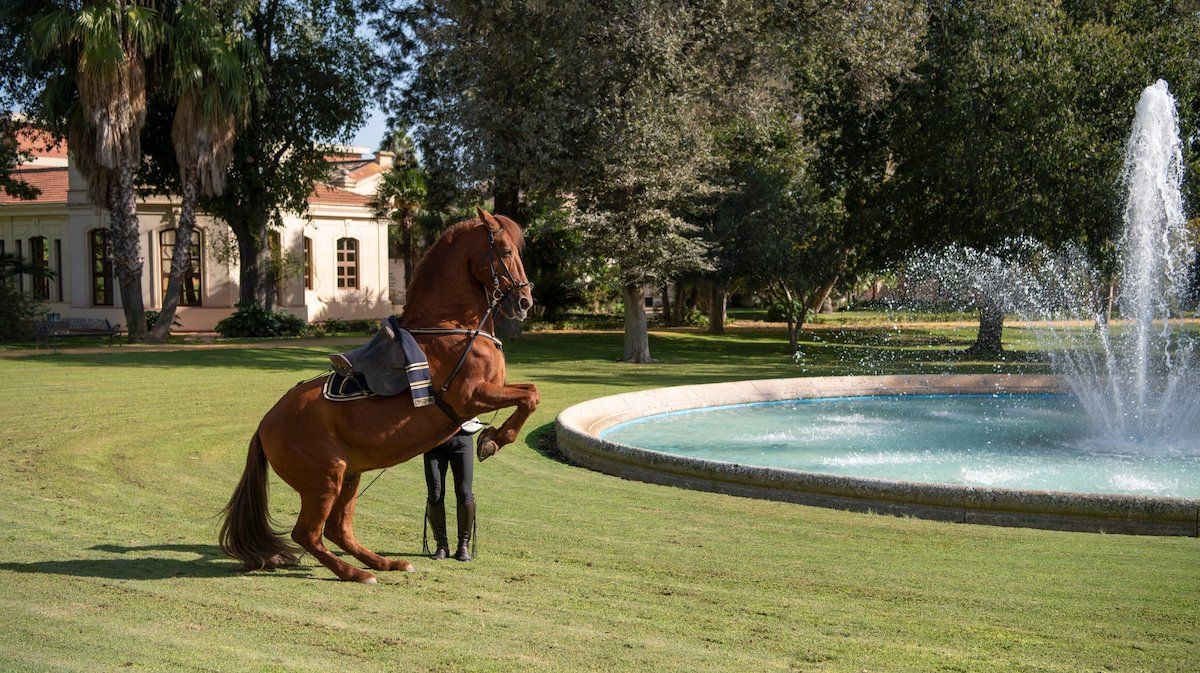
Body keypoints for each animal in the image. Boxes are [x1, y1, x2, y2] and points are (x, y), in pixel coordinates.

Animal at [219, 208, 539, 583]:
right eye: (504, 251)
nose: (525, 302)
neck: (452, 328)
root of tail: (264, 425)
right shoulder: (470, 397)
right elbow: (531, 395)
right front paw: (492, 440)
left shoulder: (482, 396)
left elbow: (529, 394)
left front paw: (490, 438)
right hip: (325, 480)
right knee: (308, 534)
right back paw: (355, 573)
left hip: (350, 475)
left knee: (338, 529)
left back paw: (385, 563)